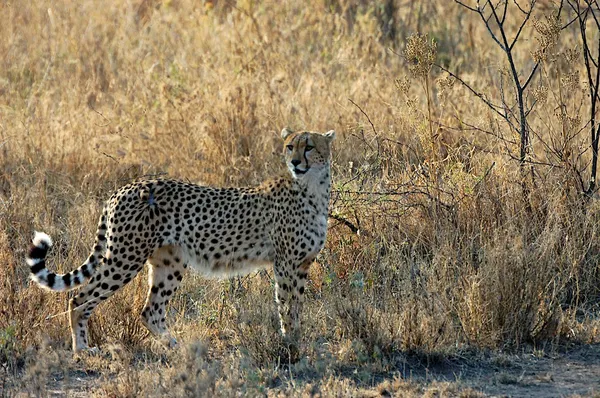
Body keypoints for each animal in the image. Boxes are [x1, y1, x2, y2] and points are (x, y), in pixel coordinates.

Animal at [25, 126, 336, 356]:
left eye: (309, 146)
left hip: (169, 262)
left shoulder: (302, 266)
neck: (312, 189)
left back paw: (178, 347)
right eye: (290, 146)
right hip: (125, 258)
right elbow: (286, 306)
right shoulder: (285, 264)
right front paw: (291, 346)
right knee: (79, 298)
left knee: (150, 311)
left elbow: (297, 306)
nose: (295, 162)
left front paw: (297, 341)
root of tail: (125, 187)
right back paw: (82, 349)